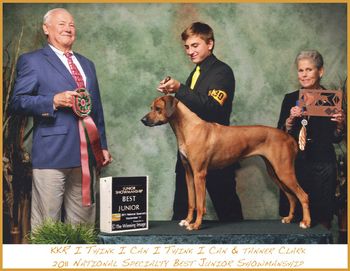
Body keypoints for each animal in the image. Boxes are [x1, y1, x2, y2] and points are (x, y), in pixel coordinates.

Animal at [141, 96, 310, 232]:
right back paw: (289, 218)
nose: (143, 120)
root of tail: (289, 137)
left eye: (158, 109)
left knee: (303, 195)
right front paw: (188, 220)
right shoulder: (189, 173)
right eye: (151, 107)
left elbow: (200, 204)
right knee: (292, 196)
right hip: (274, 173)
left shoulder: (199, 174)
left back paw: (306, 222)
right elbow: (191, 201)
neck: (188, 128)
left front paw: (196, 225)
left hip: (284, 171)